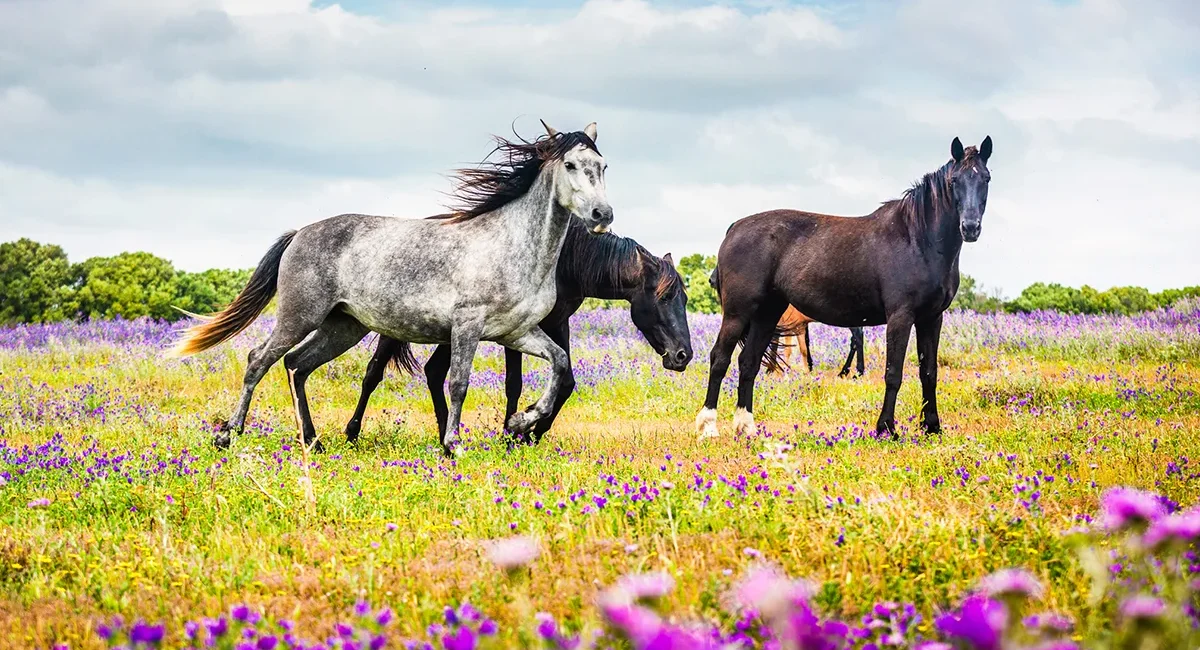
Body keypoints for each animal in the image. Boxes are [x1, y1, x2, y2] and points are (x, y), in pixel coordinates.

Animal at [168, 120, 614, 456]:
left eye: (602, 165)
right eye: (571, 164)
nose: (602, 214)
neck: (513, 245)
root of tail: (299, 234)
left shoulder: (516, 333)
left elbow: (559, 364)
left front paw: (523, 420)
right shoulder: (467, 327)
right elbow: (458, 383)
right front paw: (454, 445)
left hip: (343, 326)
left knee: (297, 365)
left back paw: (313, 442)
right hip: (300, 316)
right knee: (258, 360)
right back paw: (228, 434)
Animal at [343, 215, 693, 445]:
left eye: (685, 298)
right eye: (664, 297)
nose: (683, 356)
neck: (567, 261)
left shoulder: (557, 323)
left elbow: (565, 382)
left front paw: (531, 431)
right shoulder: (516, 330)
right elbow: (514, 383)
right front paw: (513, 433)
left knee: (433, 372)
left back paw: (445, 434)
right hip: (395, 328)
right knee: (373, 373)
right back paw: (352, 433)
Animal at [696, 136, 992, 439]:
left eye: (986, 178)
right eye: (954, 180)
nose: (970, 227)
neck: (917, 239)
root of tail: (735, 227)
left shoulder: (932, 318)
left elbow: (929, 372)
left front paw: (932, 426)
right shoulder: (901, 317)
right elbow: (893, 373)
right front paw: (886, 428)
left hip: (767, 314)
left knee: (749, 362)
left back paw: (747, 427)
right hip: (738, 314)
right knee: (720, 359)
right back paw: (708, 426)